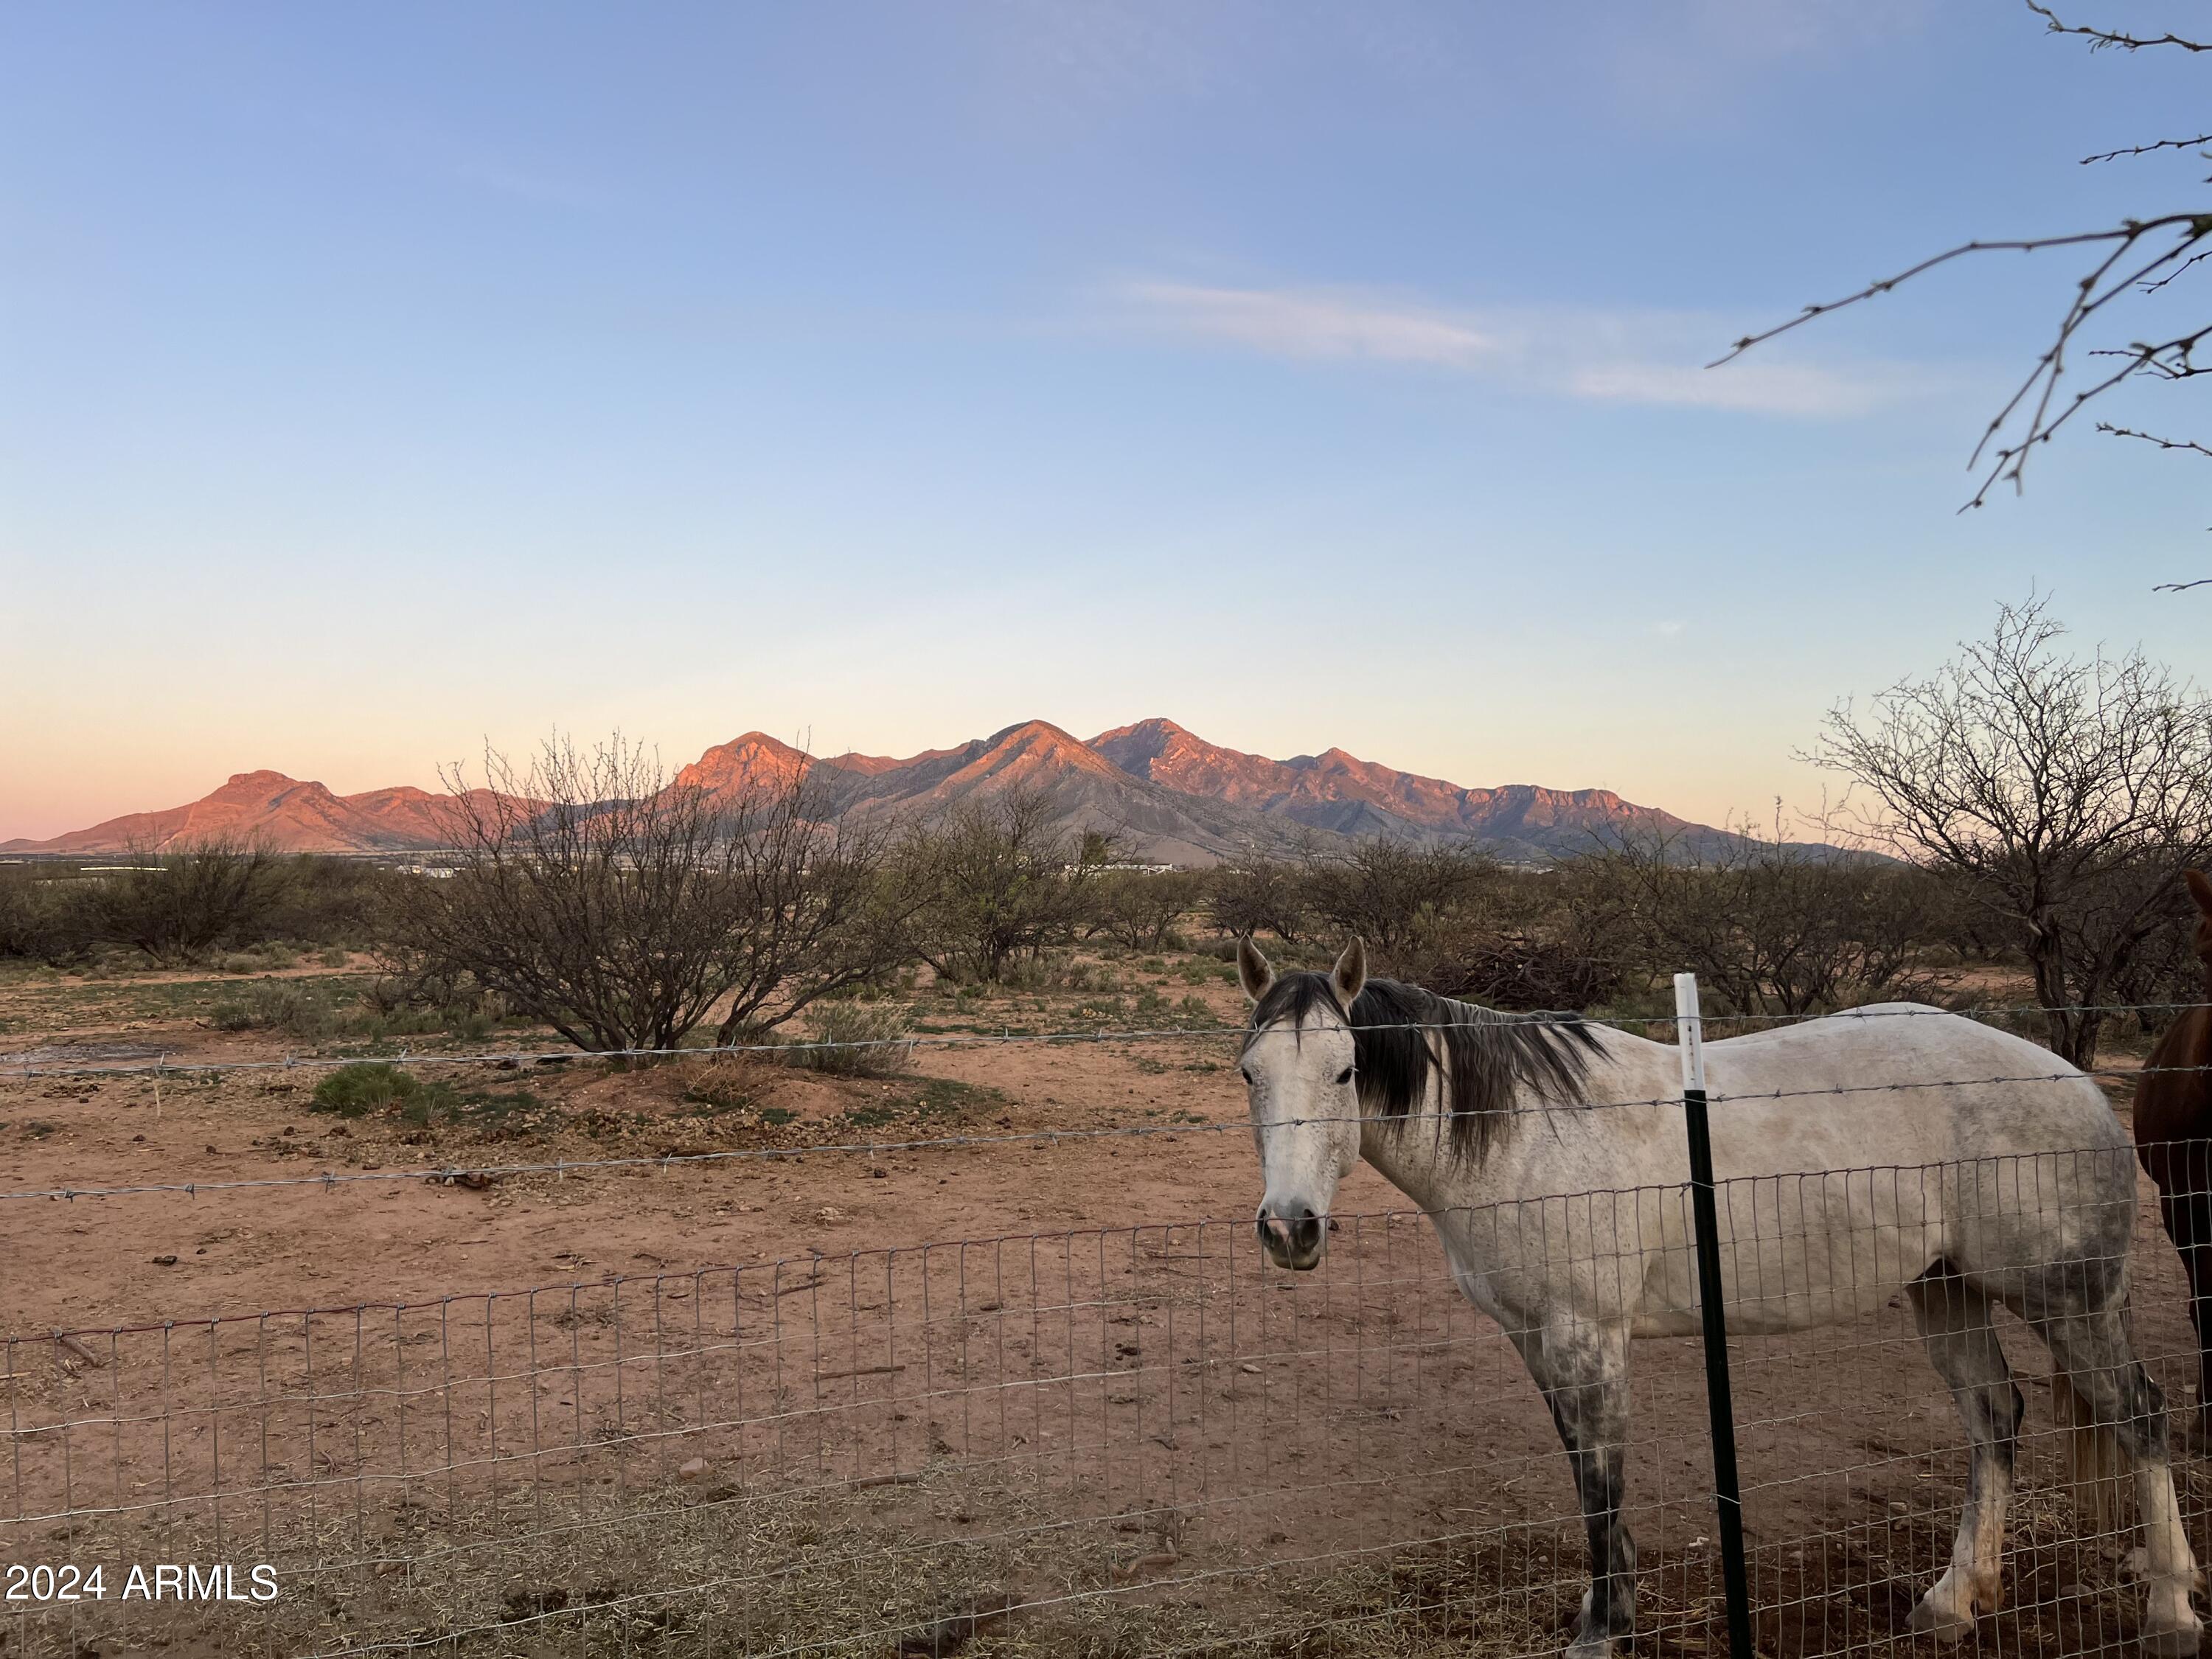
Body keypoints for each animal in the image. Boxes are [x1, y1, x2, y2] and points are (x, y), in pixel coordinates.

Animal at [1239, 942, 2203, 1655]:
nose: (1290, 1229)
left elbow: (1602, 1481)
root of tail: (2079, 1085)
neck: (1522, 1134)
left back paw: (2171, 1611)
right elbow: (1585, 1473)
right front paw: (1607, 1615)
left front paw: (1604, 1632)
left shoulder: (1587, 1337)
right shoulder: (1537, 1341)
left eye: (1344, 1072)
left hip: (2070, 1300)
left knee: (2142, 1416)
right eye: (1251, 1073)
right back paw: (1953, 1601)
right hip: (1947, 1290)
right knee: (1994, 1420)